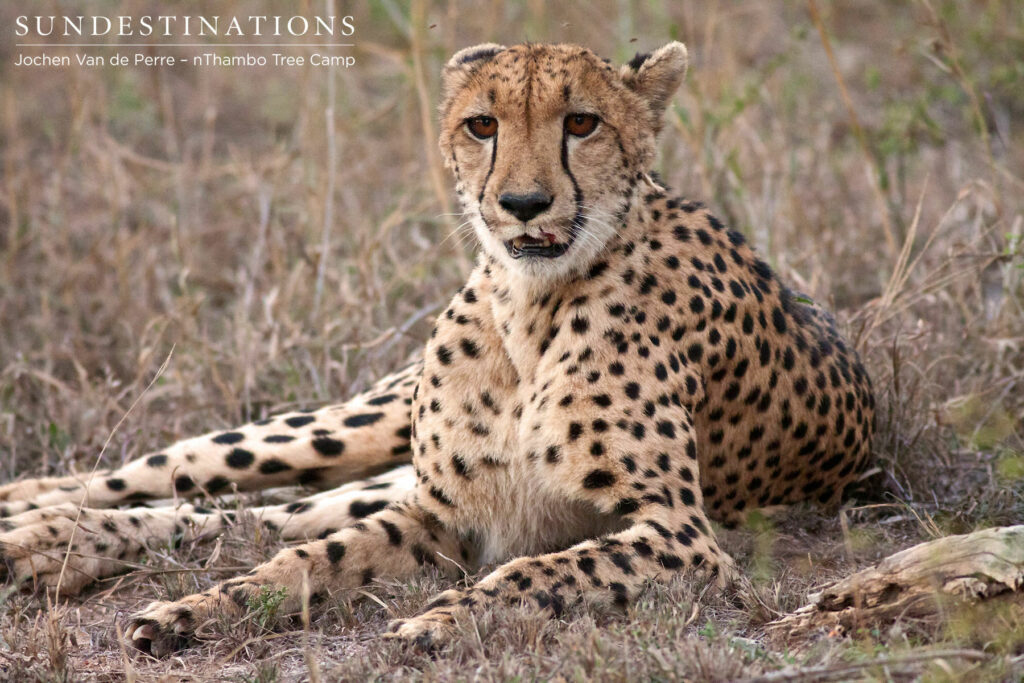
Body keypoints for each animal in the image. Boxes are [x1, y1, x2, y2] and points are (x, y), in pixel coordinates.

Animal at [0, 41, 875, 656]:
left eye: (582, 123)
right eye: (482, 125)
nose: (523, 202)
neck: (530, 309)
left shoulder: (679, 537)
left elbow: (540, 567)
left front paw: (442, 620)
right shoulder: (439, 511)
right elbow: (310, 559)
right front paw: (199, 608)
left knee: (251, 511)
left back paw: (44, 539)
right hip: (354, 429)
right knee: (190, 473)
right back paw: (33, 513)